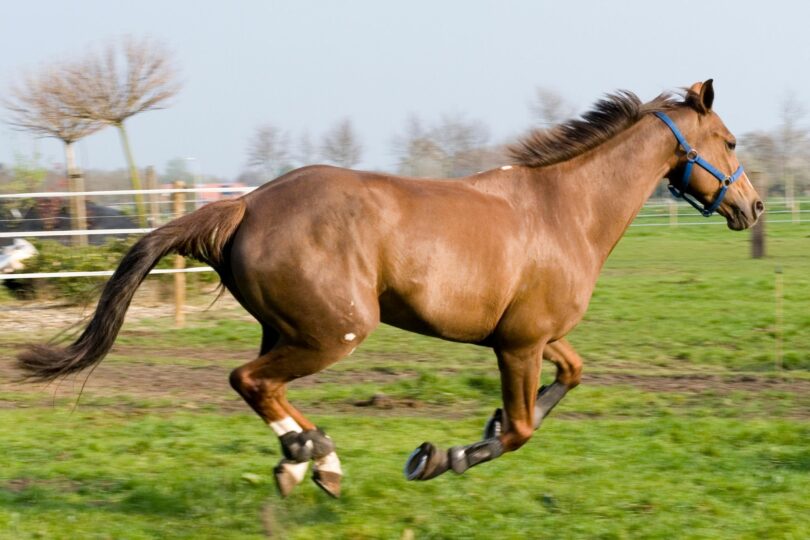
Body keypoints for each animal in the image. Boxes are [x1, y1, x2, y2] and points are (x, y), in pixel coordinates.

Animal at [17, 80, 763, 498]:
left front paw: (472, 436)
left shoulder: (536, 336)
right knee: (248, 380)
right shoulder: (519, 344)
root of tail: (244, 204)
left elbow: (572, 376)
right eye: (728, 141)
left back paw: (310, 461)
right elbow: (521, 428)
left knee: (264, 385)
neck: (565, 209)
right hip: (334, 331)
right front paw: (445, 456)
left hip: (289, 329)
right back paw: (311, 457)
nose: (753, 207)